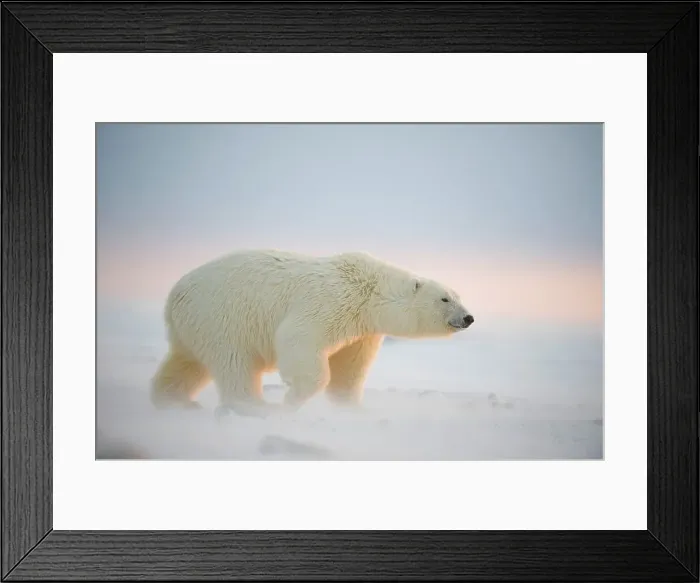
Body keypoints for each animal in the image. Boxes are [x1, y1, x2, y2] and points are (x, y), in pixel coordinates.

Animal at [150, 249, 474, 414]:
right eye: (445, 298)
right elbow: (298, 338)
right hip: (221, 317)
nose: (468, 317)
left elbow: (349, 366)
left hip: (194, 325)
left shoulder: (362, 330)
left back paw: (173, 400)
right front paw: (293, 398)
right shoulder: (330, 301)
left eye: (459, 295)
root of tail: (174, 295)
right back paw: (254, 406)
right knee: (234, 363)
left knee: (185, 363)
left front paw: (350, 408)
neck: (368, 290)